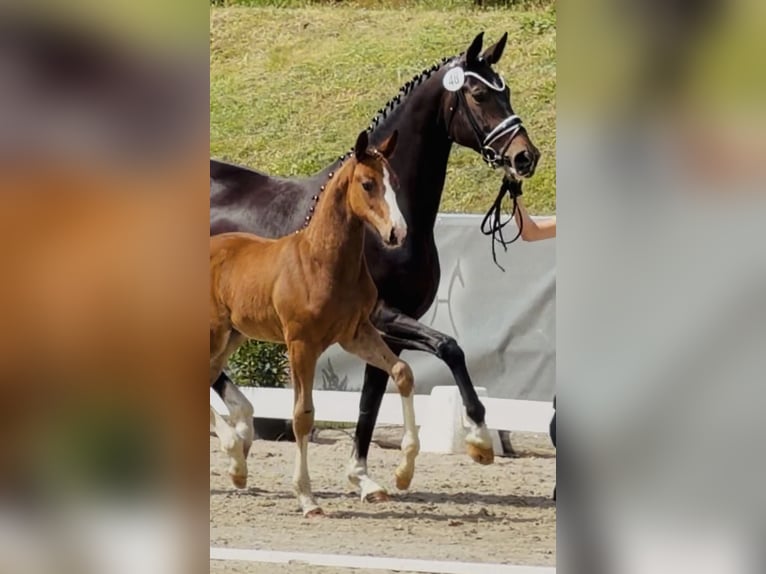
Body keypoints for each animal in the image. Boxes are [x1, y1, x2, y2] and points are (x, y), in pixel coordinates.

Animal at [209, 130, 414, 516]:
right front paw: (306, 497)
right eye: (367, 184)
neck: (322, 260)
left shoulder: (356, 333)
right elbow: (303, 415)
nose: (397, 232)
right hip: (211, 333)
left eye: (395, 182)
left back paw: (238, 467)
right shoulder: (301, 344)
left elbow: (402, 372)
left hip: (231, 336)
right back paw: (234, 453)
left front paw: (403, 473)